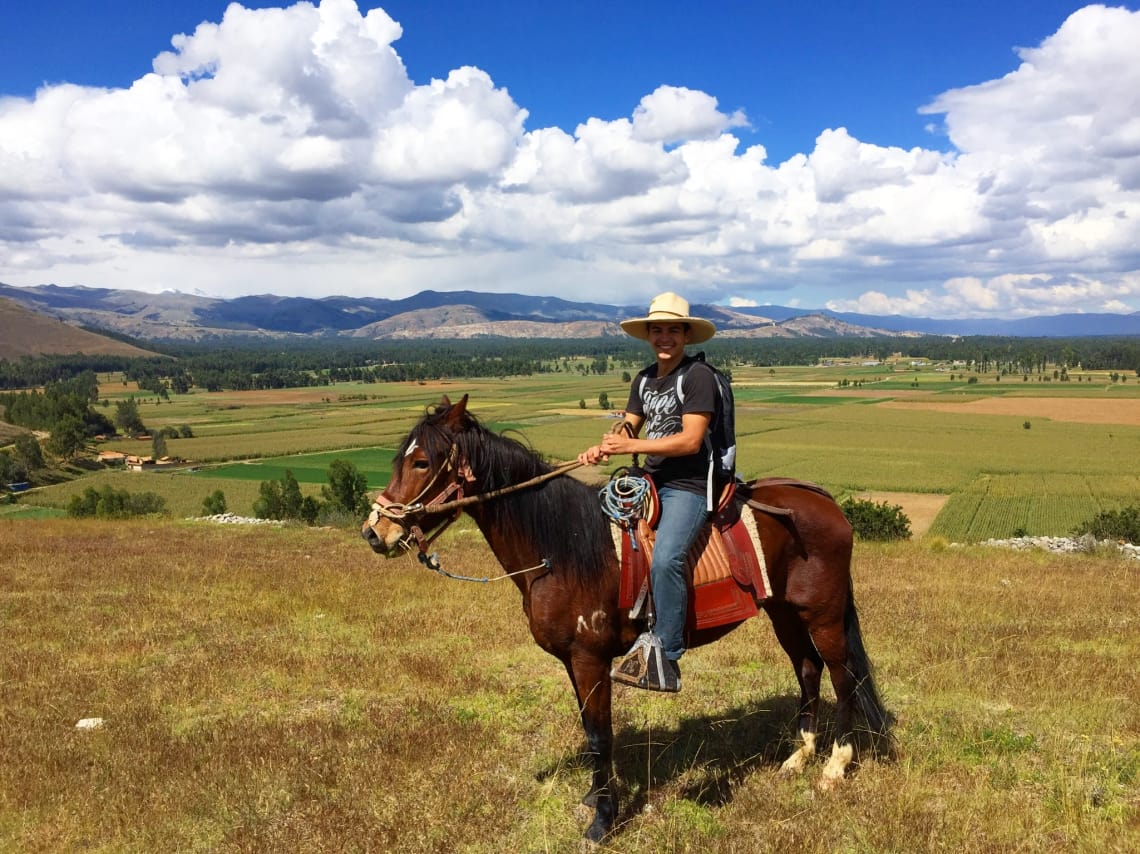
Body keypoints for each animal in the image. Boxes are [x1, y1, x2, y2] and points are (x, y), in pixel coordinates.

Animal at [362, 396, 889, 843]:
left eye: (422, 462)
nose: (374, 532)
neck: (562, 548)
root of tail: (826, 502)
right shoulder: (572, 662)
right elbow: (589, 728)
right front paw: (595, 798)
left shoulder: (590, 659)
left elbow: (600, 735)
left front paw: (603, 820)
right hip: (784, 614)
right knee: (808, 670)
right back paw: (799, 756)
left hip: (822, 616)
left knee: (842, 677)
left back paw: (835, 766)